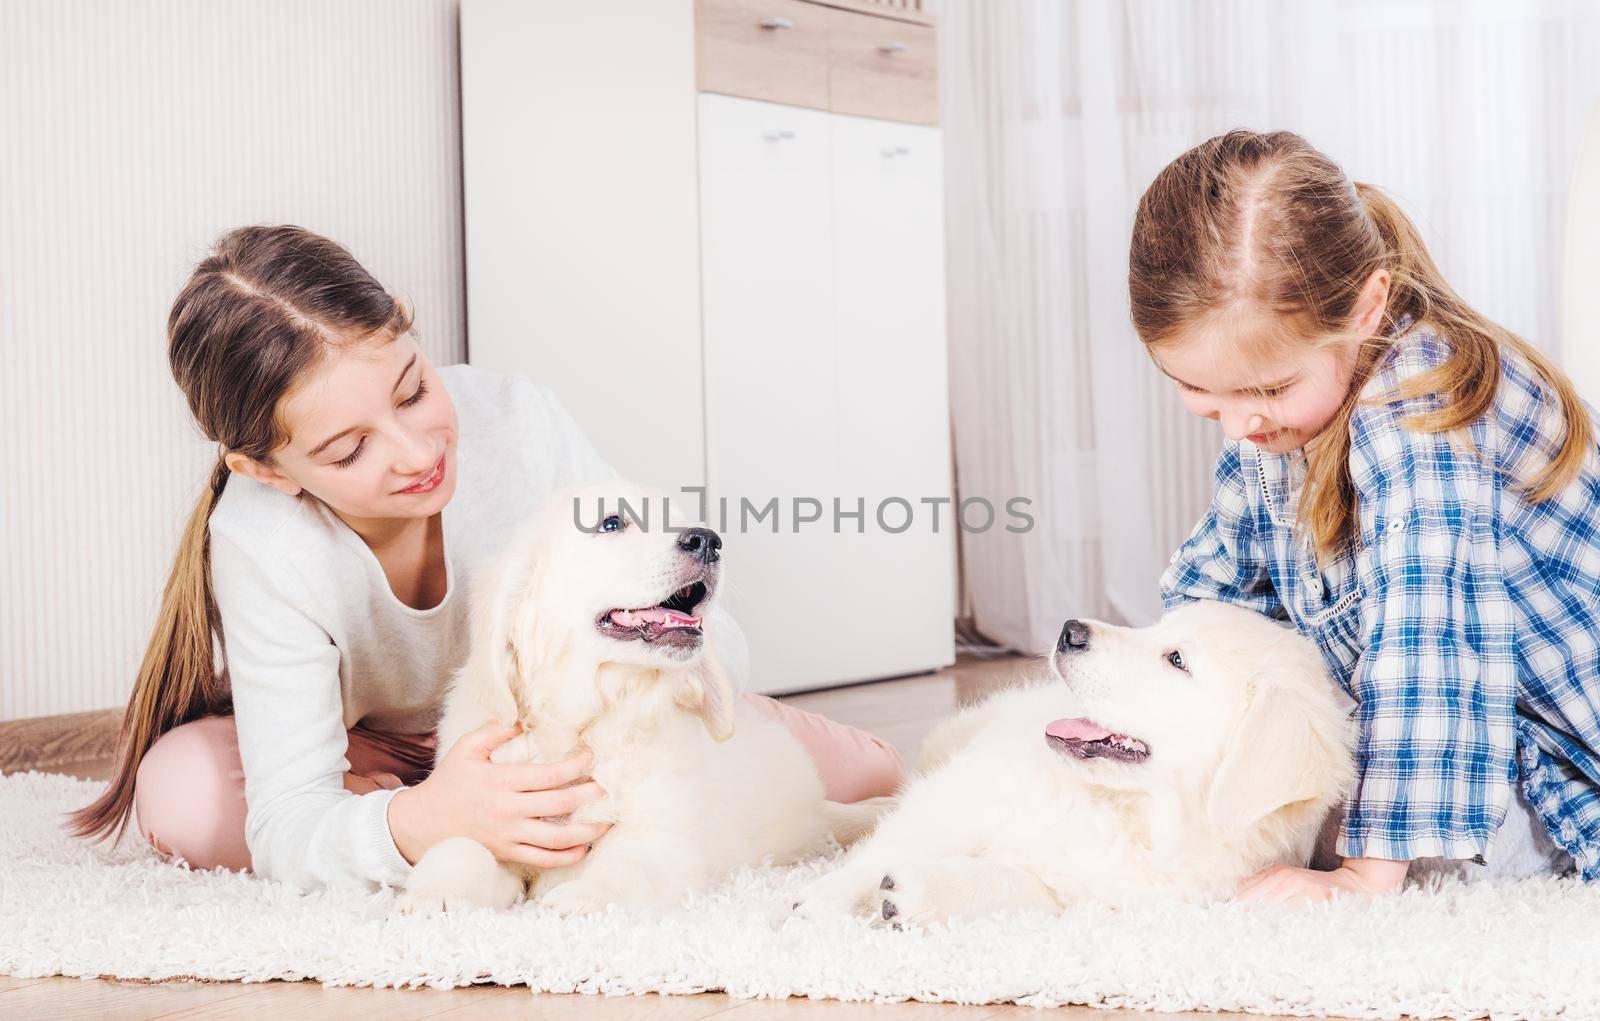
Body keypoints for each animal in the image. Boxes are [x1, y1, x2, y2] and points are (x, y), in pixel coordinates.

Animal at [393, 483, 883, 915]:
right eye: (611, 523)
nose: (708, 541)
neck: (589, 722)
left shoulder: (666, 841)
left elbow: (628, 865)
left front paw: (583, 897)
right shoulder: (494, 814)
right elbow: (461, 846)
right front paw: (434, 893)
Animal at [793, 601, 1356, 928]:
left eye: (1176, 660)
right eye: (1155, 627)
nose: (1070, 631)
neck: (1126, 811)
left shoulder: (1097, 893)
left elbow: (1016, 885)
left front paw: (916, 896)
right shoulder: (977, 787)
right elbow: (905, 837)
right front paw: (823, 899)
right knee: (893, 801)